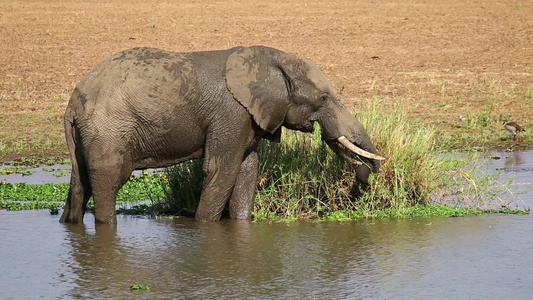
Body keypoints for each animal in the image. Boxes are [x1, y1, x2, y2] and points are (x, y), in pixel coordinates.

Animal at [60, 45, 384, 224]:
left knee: (80, 183)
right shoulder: (232, 113)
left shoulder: (250, 118)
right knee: (109, 180)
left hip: (88, 134)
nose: (365, 176)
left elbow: (247, 170)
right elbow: (221, 170)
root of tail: (72, 104)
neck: (273, 59)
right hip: (108, 129)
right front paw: (205, 227)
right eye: (324, 99)